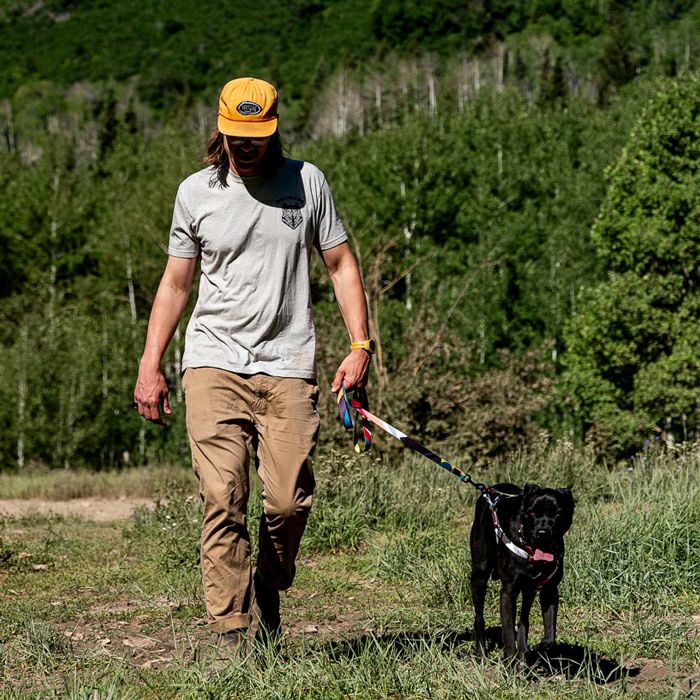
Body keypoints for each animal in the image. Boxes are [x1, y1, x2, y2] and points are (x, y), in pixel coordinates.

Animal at [470, 482, 576, 660]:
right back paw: (481, 653)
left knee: (523, 619)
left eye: (558, 513)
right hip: (479, 575)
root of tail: (489, 490)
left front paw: (539, 648)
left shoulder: (549, 590)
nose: (542, 533)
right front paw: (510, 661)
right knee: (479, 617)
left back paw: (524, 650)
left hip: (529, 590)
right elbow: (507, 633)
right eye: (532, 512)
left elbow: (550, 636)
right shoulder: (508, 592)